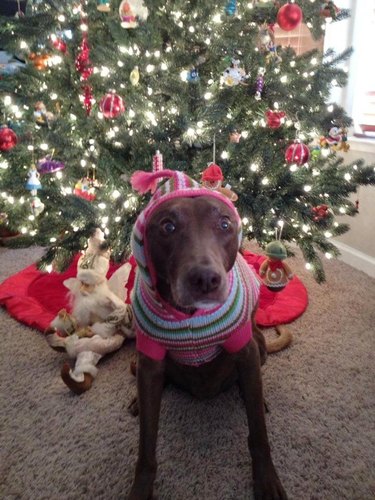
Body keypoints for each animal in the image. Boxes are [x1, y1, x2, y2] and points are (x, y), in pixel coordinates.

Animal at [129, 169, 288, 500]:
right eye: (168, 226)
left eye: (225, 224)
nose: (205, 279)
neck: (190, 316)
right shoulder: (149, 359)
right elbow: (146, 445)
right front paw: (141, 489)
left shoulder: (245, 350)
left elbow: (259, 433)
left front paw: (266, 479)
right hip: (139, 363)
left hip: (259, 345)